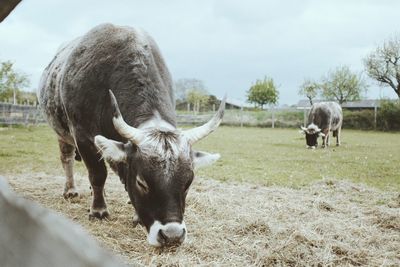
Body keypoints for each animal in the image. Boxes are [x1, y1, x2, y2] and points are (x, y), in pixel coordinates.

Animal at [37, 24, 225, 248]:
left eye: (188, 183)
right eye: (141, 182)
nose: (172, 236)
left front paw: (134, 213)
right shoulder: (83, 137)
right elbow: (98, 175)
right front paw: (98, 210)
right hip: (62, 134)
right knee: (67, 159)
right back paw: (71, 190)